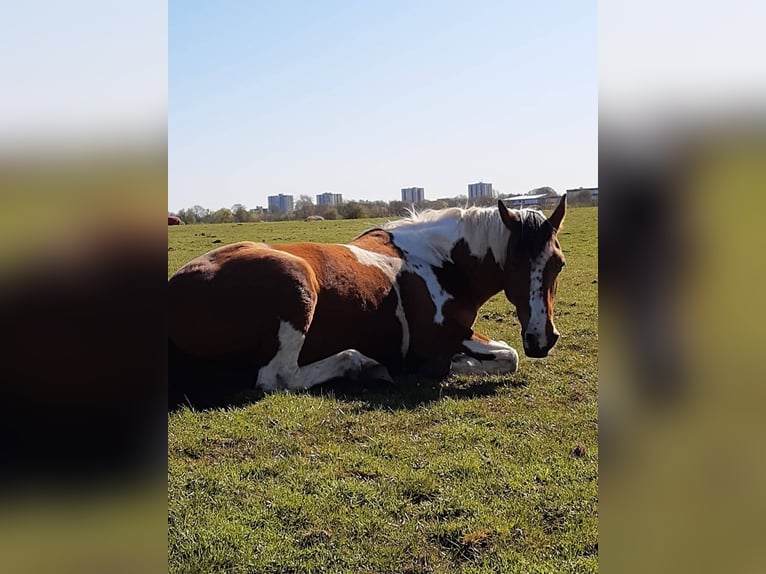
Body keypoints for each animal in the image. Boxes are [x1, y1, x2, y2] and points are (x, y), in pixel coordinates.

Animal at [171, 196, 568, 398]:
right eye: (515, 262)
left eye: (558, 264)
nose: (541, 338)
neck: (438, 260)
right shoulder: (435, 341)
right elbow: (505, 356)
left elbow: (505, 354)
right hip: (296, 282)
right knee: (279, 378)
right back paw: (362, 365)